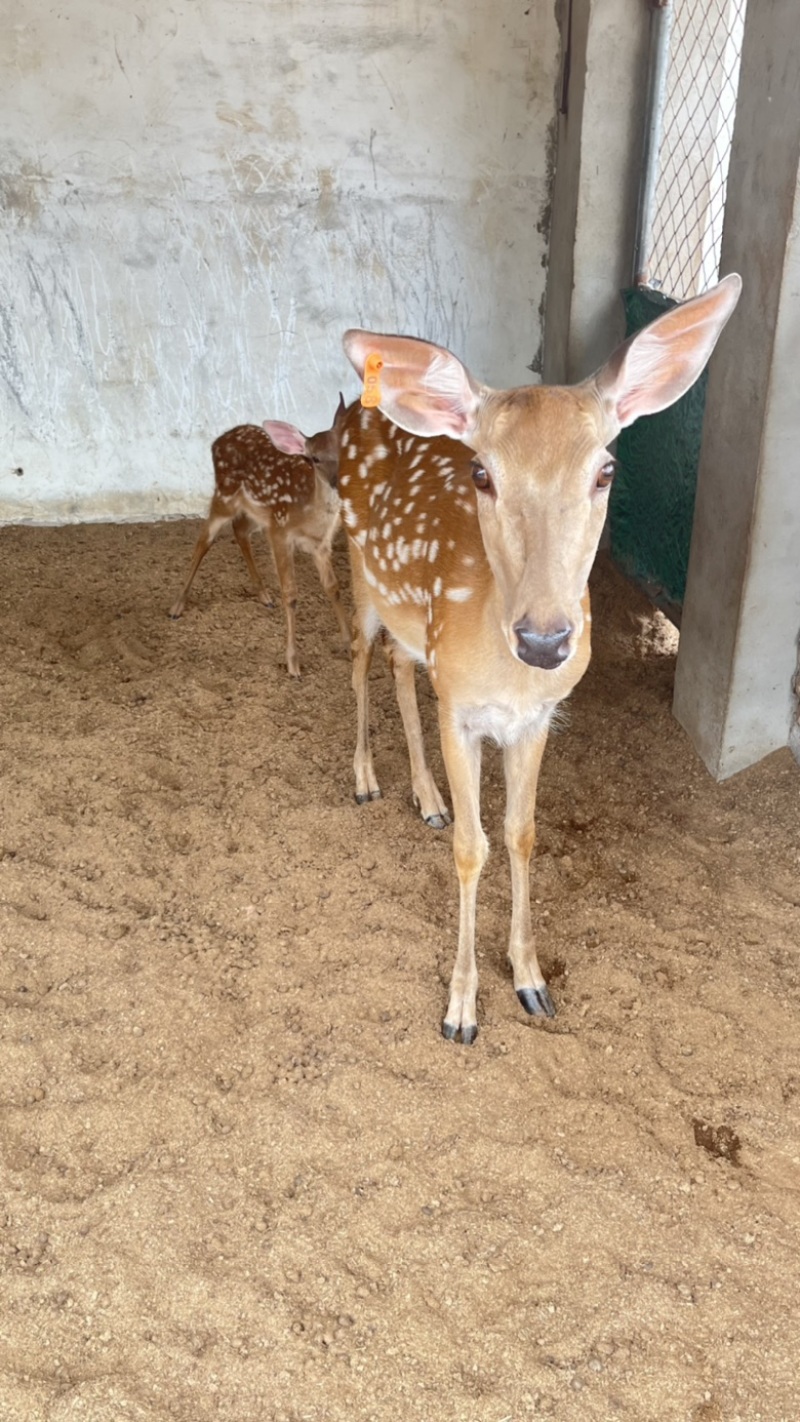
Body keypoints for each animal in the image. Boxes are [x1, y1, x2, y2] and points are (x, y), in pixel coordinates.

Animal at [169, 395, 351, 677]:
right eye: (315, 458)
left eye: (344, 449)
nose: (337, 482)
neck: (309, 514)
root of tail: (217, 440)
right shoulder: (280, 531)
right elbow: (291, 594)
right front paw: (293, 663)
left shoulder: (321, 544)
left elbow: (334, 588)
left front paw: (348, 645)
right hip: (225, 496)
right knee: (204, 539)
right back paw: (177, 606)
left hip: (256, 512)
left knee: (240, 530)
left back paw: (264, 595)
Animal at [338, 274, 742, 1043]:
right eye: (481, 473)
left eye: (606, 469)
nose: (547, 639)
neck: (506, 673)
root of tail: (352, 412)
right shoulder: (460, 708)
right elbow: (473, 848)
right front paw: (461, 1010)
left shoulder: (537, 719)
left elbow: (521, 835)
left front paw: (529, 979)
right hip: (359, 575)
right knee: (356, 659)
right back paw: (367, 780)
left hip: (409, 622)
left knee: (399, 667)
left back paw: (426, 798)